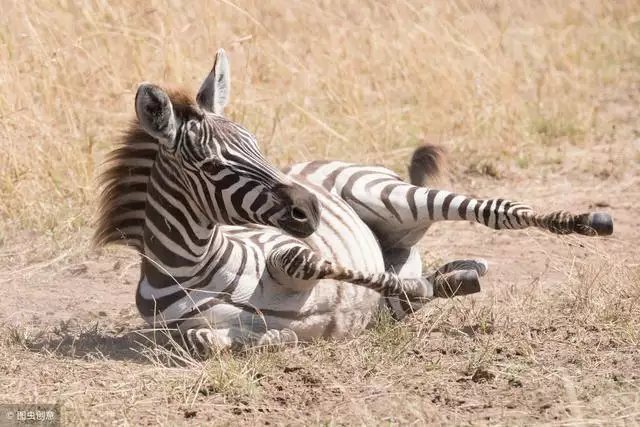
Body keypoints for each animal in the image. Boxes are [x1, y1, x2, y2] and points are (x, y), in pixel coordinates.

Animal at [94, 49, 608, 358]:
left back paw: (584, 220)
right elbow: (209, 339)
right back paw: (456, 274)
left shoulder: (287, 251)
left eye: (257, 146)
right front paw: (275, 336)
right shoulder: (184, 332)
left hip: (389, 195)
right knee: (420, 274)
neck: (196, 267)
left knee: (497, 211)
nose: (312, 209)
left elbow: (321, 265)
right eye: (214, 164)